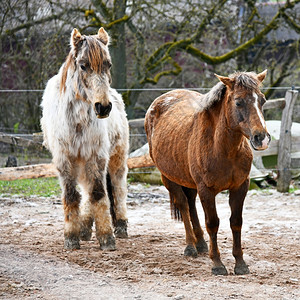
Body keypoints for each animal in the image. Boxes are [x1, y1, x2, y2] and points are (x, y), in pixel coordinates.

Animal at [40, 28, 128, 250]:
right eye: (83, 65)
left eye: (108, 64)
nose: (103, 107)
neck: (77, 122)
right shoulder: (65, 160)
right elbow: (72, 196)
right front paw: (71, 238)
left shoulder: (96, 156)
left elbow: (99, 193)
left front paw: (106, 238)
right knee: (86, 192)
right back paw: (85, 229)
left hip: (116, 159)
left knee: (118, 188)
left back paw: (121, 227)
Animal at [144, 69, 270, 274]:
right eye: (238, 102)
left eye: (262, 100)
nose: (262, 138)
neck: (222, 148)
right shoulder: (206, 190)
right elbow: (213, 223)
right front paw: (217, 264)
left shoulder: (240, 187)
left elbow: (236, 221)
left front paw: (240, 263)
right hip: (168, 178)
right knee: (183, 205)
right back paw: (190, 246)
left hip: (188, 181)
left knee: (190, 203)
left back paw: (201, 243)